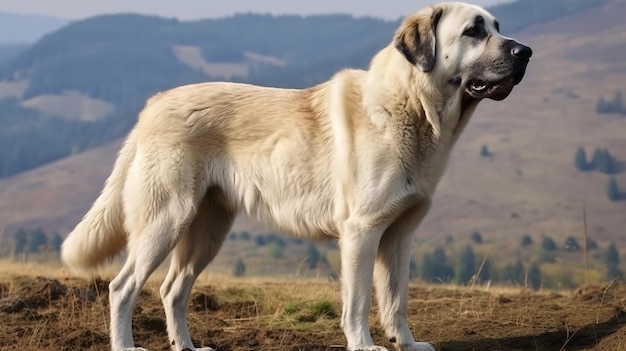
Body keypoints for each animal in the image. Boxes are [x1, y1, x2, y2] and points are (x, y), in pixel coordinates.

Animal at [62, 2, 532, 351]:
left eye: (496, 27)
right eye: (473, 31)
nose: (525, 52)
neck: (413, 106)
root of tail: (152, 105)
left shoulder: (399, 235)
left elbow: (396, 299)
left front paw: (407, 343)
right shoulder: (361, 233)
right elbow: (359, 301)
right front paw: (364, 345)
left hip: (207, 230)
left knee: (172, 289)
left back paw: (188, 347)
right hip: (165, 221)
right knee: (123, 287)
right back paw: (127, 344)